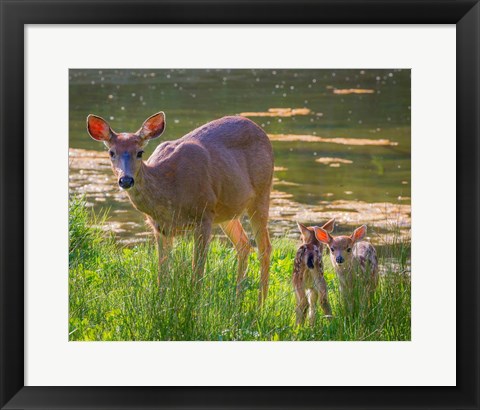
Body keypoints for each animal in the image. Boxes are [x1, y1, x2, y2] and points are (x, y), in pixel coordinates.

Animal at [86, 113, 274, 304]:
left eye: (139, 152)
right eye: (111, 152)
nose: (125, 180)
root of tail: (260, 130)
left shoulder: (204, 215)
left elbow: (197, 271)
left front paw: (194, 306)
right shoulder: (160, 227)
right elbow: (162, 273)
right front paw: (160, 303)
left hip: (262, 192)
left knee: (265, 248)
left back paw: (261, 304)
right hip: (227, 211)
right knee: (244, 244)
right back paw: (237, 301)